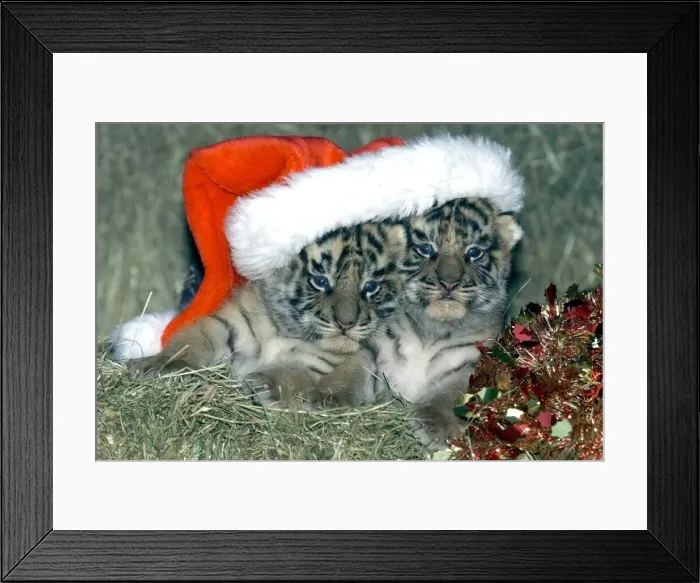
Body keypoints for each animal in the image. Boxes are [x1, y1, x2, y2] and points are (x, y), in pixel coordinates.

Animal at [117, 221, 407, 410]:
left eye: (370, 286)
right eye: (321, 281)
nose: (346, 324)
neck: (287, 328)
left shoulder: (319, 361)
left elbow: (292, 371)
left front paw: (264, 385)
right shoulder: (223, 325)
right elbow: (189, 343)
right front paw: (159, 365)